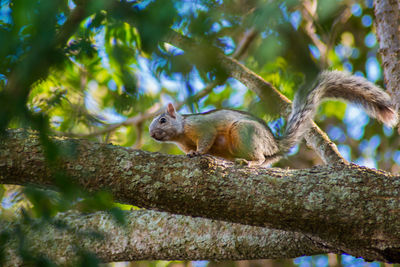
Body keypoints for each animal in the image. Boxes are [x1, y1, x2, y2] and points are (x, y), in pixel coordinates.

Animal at [148, 70, 398, 165]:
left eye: (162, 120)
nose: (152, 134)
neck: (182, 131)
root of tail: (274, 145)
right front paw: (191, 153)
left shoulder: (202, 127)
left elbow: (206, 139)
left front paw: (198, 153)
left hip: (243, 132)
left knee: (258, 159)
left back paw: (249, 162)